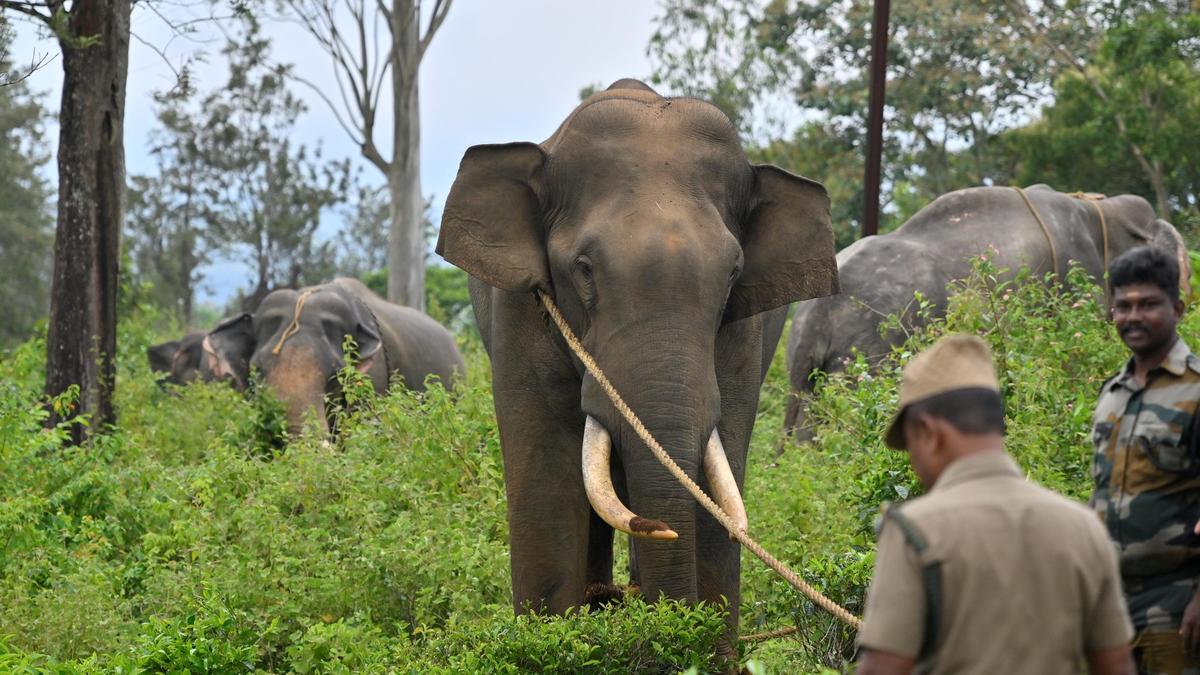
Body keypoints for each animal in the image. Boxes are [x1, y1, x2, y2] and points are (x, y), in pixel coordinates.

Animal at [436, 78, 837, 642]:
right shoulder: (519, 312)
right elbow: (547, 486)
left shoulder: (744, 338)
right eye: (583, 269)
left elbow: (719, 482)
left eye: (733, 274)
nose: (664, 530)